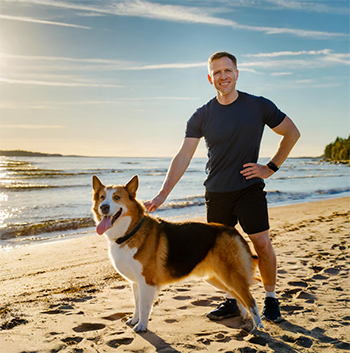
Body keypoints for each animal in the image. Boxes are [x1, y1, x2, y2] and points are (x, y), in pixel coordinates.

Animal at [91, 175, 262, 332]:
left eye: (116, 198)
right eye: (102, 197)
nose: (104, 207)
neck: (130, 231)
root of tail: (233, 231)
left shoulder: (147, 282)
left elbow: (144, 307)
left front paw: (141, 326)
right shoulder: (135, 282)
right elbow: (137, 305)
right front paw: (135, 320)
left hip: (230, 276)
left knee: (251, 300)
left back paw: (258, 328)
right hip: (216, 278)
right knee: (238, 296)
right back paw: (245, 316)